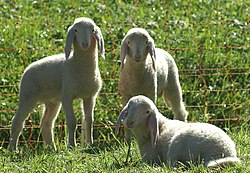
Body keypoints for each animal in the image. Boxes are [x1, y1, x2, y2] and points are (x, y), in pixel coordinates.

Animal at [9, 16, 105, 151]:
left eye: (92, 30)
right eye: (75, 30)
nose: (85, 44)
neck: (79, 67)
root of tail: (27, 68)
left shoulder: (89, 96)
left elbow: (89, 121)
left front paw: (89, 144)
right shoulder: (67, 96)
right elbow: (71, 121)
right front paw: (71, 145)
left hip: (52, 102)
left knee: (46, 123)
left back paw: (52, 148)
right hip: (27, 96)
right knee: (17, 121)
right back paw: (12, 149)